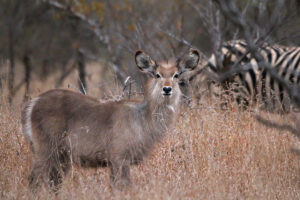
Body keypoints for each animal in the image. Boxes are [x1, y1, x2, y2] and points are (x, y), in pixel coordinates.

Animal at [21, 49, 199, 191]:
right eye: (157, 74)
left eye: (176, 75)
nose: (167, 88)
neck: (143, 121)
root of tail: (32, 104)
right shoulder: (119, 156)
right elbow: (123, 187)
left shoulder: (116, 161)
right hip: (46, 149)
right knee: (34, 180)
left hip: (60, 156)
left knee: (53, 183)